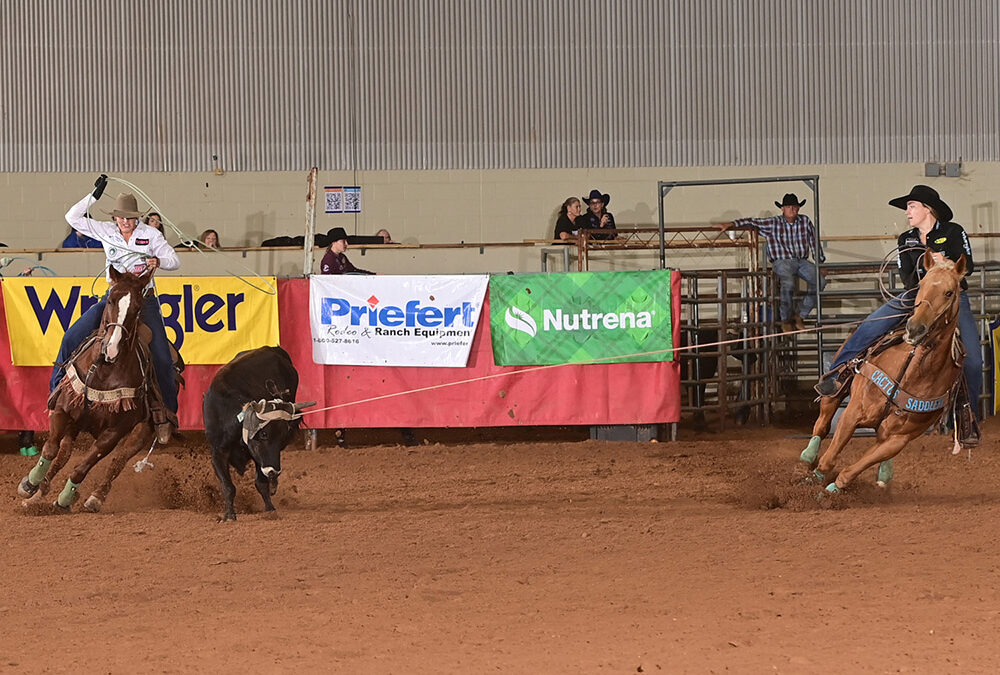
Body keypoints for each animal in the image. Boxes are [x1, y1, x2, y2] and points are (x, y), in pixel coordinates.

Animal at [16, 266, 161, 510]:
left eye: (137, 307)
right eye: (111, 300)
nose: (110, 349)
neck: (103, 370)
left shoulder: (114, 432)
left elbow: (83, 466)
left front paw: (65, 498)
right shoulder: (64, 410)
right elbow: (51, 448)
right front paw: (30, 484)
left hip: (140, 432)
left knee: (118, 461)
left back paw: (96, 497)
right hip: (75, 423)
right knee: (63, 454)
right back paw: (38, 493)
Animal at [800, 251, 964, 494]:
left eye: (949, 292)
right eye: (921, 284)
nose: (914, 328)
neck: (913, 374)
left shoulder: (898, 439)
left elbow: (855, 468)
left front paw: (833, 489)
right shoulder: (853, 412)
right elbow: (829, 457)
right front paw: (814, 480)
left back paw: (884, 474)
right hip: (836, 387)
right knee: (823, 421)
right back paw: (808, 454)